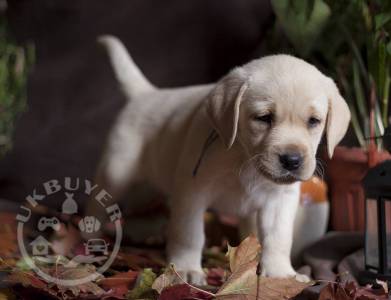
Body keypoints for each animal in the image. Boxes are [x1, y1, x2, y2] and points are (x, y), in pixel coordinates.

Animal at [95, 35, 352, 284]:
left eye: (314, 121)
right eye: (264, 118)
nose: (292, 160)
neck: (245, 158)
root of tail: (147, 94)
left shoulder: (280, 200)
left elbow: (278, 237)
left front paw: (280, 272)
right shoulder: (192, 193)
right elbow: (189, 234)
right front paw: (186, 268)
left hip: (147, 186)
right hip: (116, 173)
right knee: (96, 207)